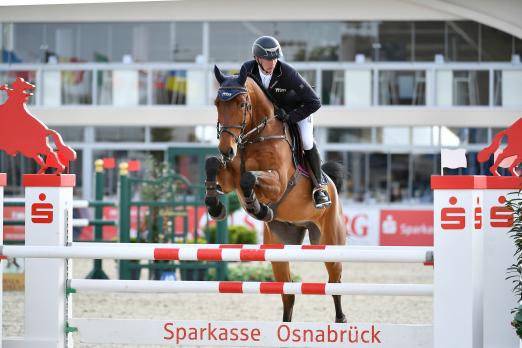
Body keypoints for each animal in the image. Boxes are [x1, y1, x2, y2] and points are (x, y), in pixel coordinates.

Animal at [205, 66, 348, 324]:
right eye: (217, 103)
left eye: (242, 104)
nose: (226, 150)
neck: (254, 136)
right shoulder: (229, 179)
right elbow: (211, 163)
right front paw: (215, 206)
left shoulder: (278, 181)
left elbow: (249, 178)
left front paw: (257, 207)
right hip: (279, 249)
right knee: (288, 293)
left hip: (330, 243)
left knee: (335, 284)